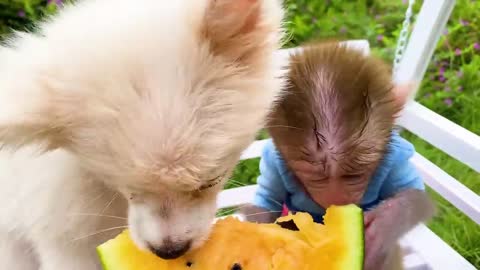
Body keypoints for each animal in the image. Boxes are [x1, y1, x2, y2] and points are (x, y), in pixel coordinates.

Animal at [240, 41, 436, 268]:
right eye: (316, 179)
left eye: (354, 175)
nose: (338, 201)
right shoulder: (273, 163)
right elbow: (267, 201)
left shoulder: (396, 157)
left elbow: (416, 195)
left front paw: (384, 224)